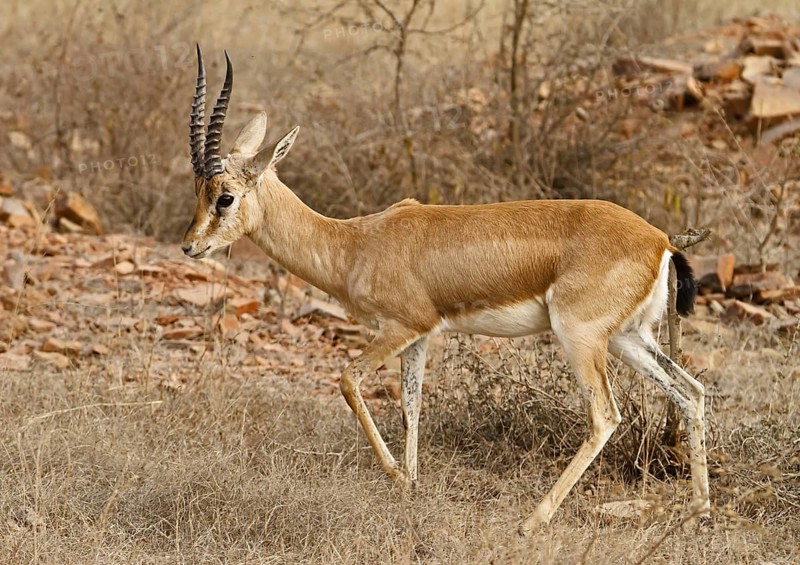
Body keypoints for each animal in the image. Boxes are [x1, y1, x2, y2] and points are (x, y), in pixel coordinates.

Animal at [182, 47, 710, 534]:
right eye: (199, 192)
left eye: (225, 197)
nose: (190, 246)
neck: (355, 244)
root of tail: (659, 241)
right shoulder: (421, 336)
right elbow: (411, 406)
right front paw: (413, 485)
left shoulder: (399, 327)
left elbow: (349, 381)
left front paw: (397, 476)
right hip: (626, 339)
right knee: (691, 390)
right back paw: (697, 512)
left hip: (580, 338)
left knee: (604, 415)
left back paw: (533, 520)